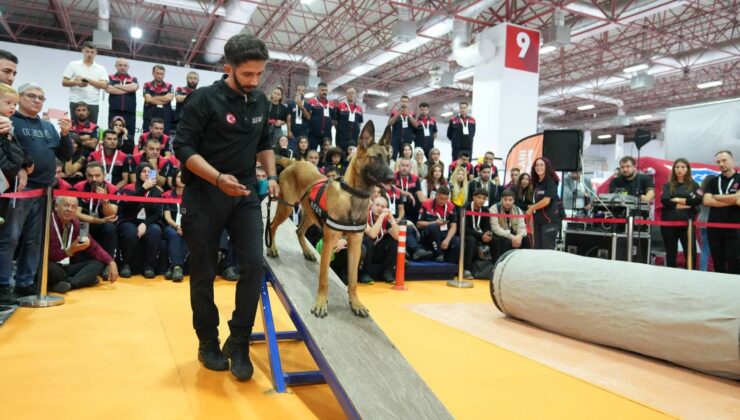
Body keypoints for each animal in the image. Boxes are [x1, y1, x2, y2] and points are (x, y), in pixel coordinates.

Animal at [266, 120, 394, 316]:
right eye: (376, 157)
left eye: (388, 158)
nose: (392, 177)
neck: (353, 196)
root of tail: (293, 162)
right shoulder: (329, 243)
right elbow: (324, 278)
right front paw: (320, 303)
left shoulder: (355, 245)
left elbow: (353, 280)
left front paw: (356, 303)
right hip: (286, 208)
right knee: (272, 226)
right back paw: (272, 248)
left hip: (310, 216)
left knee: (299, 231)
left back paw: (307, 252)